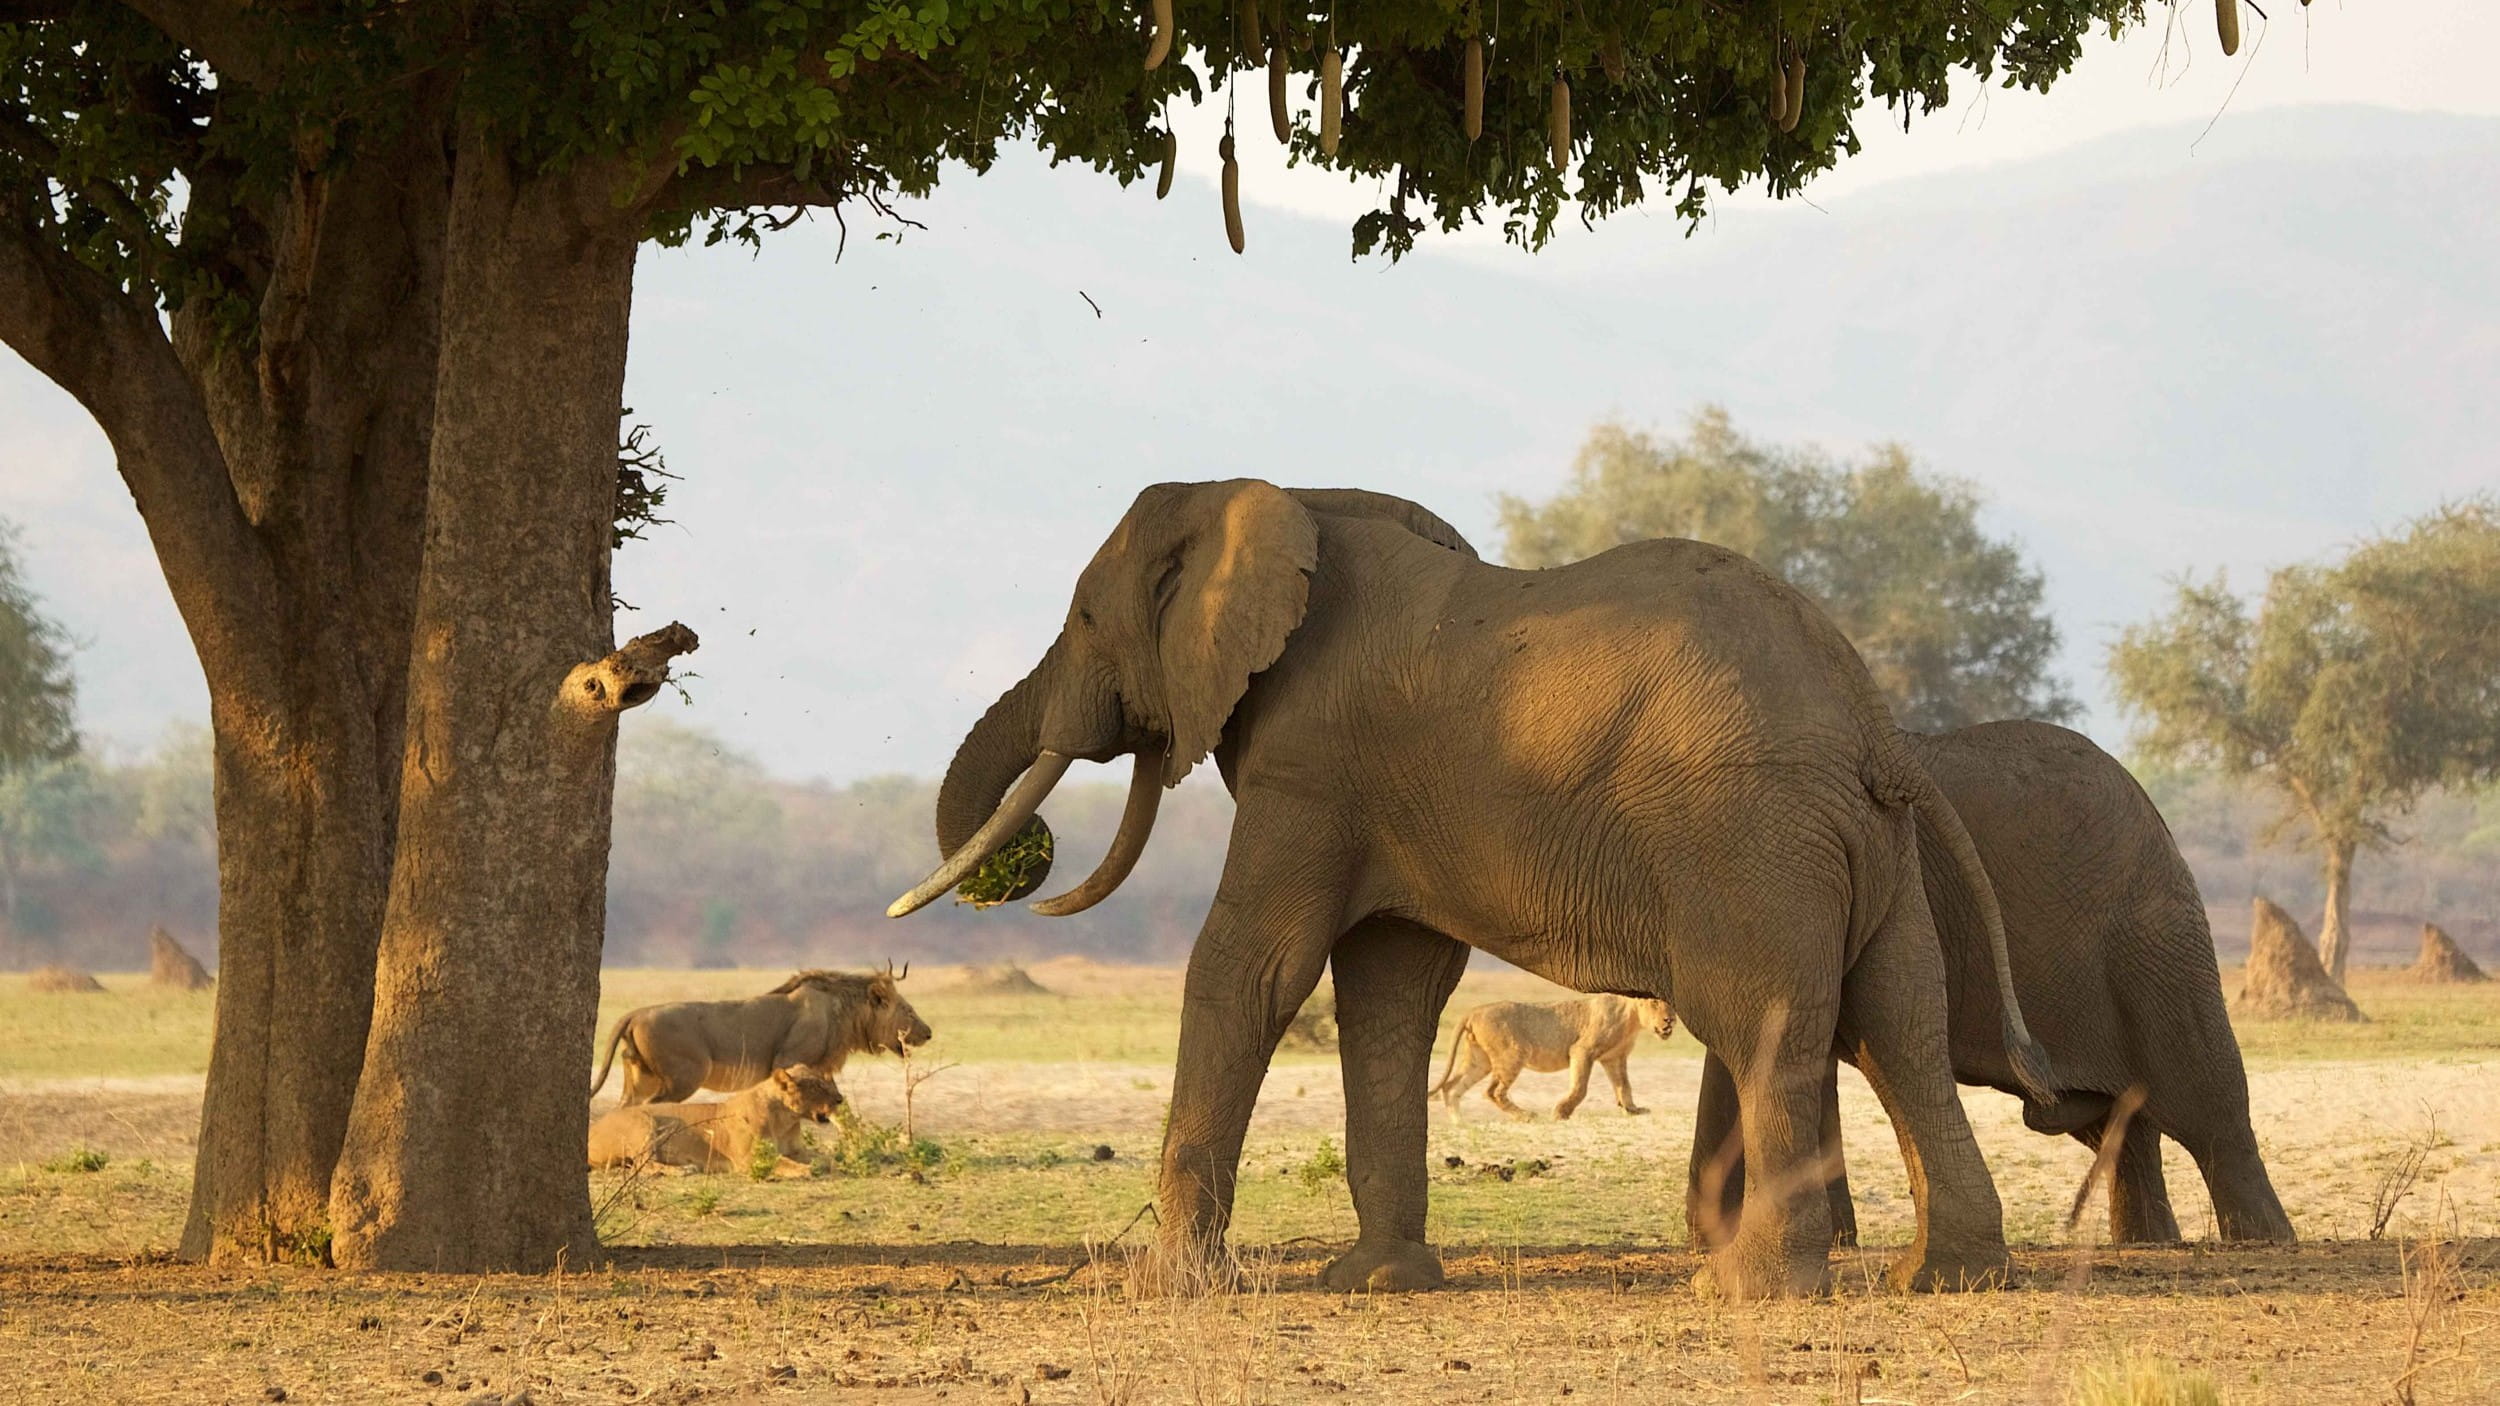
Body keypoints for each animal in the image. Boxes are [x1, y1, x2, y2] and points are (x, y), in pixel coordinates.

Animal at [587, 1060, 850, 1170]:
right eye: (817, 1087)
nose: (840, 1099)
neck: (785, 1119)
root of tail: (591, 1129)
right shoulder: (749, 1159)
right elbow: (787, 1164)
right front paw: (808, 1171)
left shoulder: (796, 1149)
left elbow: (824, 1159)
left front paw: (835, 1165)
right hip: (643, 1124)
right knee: (643, 1166)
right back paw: (685, 1169)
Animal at [590, 960, 935, 1105]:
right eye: (907, 1010)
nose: (929, 1033)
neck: (843, 1013)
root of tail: (635, 1014)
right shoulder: (789, 1061)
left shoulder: (822, 1069)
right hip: (683, 1078)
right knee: (652, 1109)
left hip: (640, 1080)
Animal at [1430, 985, 1680, 1115]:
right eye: (1654, 1003)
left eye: (1672, 1005)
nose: (1670, 1020)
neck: (1632, 1020)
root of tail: (1474, 1010)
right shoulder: (1582, 1050)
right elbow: (1580, 1087)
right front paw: (1561, 1112)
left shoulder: (1615, 1058)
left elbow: (1624, 1085)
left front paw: (1632, 1109)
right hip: (1513, 1054)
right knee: (1493, 1092)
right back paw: (1527, 1116)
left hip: (1479, 1061)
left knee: (1452, 1087)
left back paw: (1458, 1124)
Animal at [1690, 715, 2290, 1240]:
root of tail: (2150, 807)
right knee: (2123, 1124)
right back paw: (2149, 1242)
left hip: (2155, 941)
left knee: (2206, 1100)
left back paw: (2263, 1239)